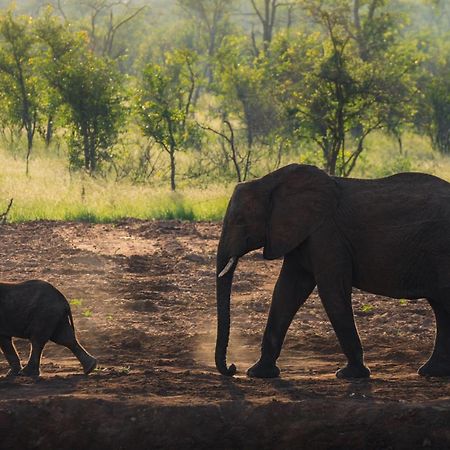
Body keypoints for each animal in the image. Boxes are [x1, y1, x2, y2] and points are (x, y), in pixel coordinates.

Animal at [215, 163, 450, 378]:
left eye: (240, 220)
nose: (232, 368)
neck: (269, 181)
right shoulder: (303, 235)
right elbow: (286, 292)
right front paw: (258, 373)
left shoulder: (327, 234)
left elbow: (332, 292)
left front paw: (350, 374)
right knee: (441, 307)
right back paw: (431, 372)